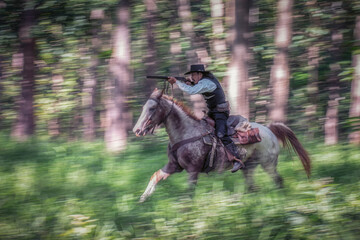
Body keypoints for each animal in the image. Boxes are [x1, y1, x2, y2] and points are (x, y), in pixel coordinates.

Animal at [134, 89, 310, 202]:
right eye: (143, 107)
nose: (137, 130)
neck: (186, 132)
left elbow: (189, 193)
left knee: (278, 180)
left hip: (268, 164)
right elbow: (155, 176)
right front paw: (142, 199)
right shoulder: (174, 166)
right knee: (253, 187)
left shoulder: (192, 170)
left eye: (152, 108)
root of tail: (269, 129)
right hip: (248, 167)